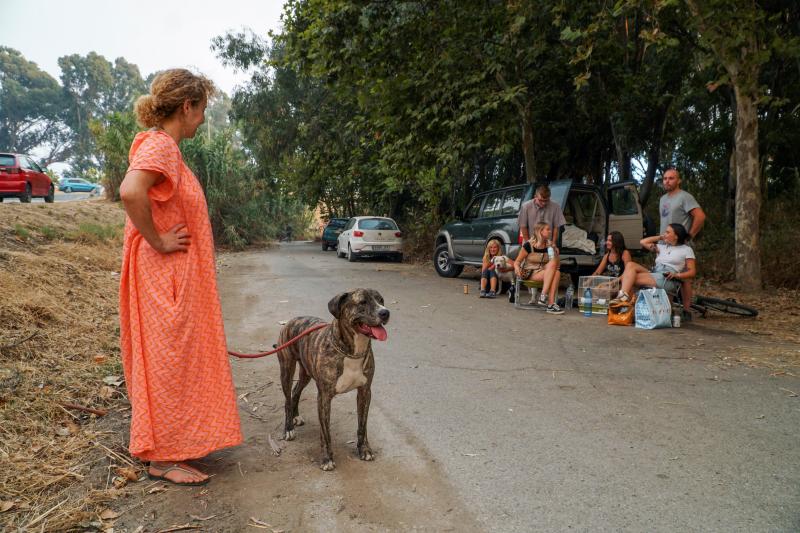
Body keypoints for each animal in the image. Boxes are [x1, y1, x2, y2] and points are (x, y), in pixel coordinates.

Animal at [276, 286, 390, 470]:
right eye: (362, 302)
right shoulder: (324, 397)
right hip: (286, 368)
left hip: (306, 373)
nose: (385, 312)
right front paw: (327, 458)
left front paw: (364, 449)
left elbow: (362, 425)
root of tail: (293, 320)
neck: (352, 351)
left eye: (381, 300)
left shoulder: (365, 392)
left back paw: (296, 416)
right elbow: (325, 432)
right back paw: (288, 428)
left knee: (295, 391)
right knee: (287, 397)